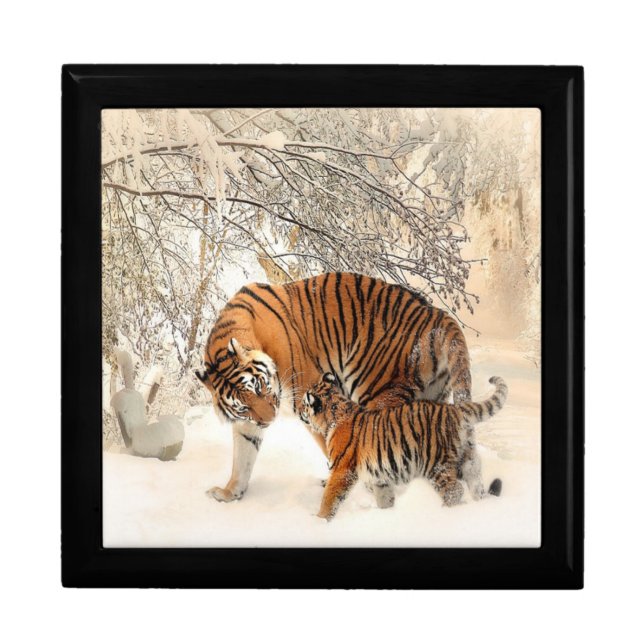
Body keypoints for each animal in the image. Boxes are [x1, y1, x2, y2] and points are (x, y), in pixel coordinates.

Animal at [196, 272, 473, 504]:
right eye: (243, 407)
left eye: (260, 387)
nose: (270, 420)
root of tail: (437, 315)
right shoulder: (248, 423)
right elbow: (242, 458)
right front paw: (229, 493)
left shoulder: (310, 399)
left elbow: (332, 447)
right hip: (429, 397)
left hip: (378, 391)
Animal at [300, 373, 507, 521]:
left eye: (304, 403)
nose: (300, 411)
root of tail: (454, 409)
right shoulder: (380, 477)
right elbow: (384, 497)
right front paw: (386, 514)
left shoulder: (342, 470)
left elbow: (329, 497)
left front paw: (319, 520)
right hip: (469, 459)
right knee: (476, 484)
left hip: (436, 464)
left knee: (454, 491)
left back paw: (444, 513)